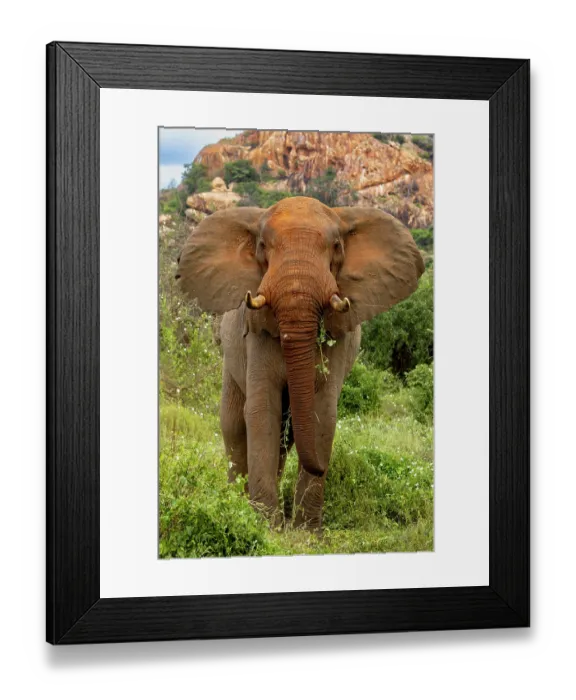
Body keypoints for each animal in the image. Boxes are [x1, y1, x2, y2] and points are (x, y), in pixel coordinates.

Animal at [177, 196, 424, 529]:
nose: (322, 468)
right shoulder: (256, 331)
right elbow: (261, 411)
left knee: (286, 435)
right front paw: (266, 527)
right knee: (233, 425)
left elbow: (322, 413)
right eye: (262, 246)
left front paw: (304, 532)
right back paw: (236, 501)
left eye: (336, 246)